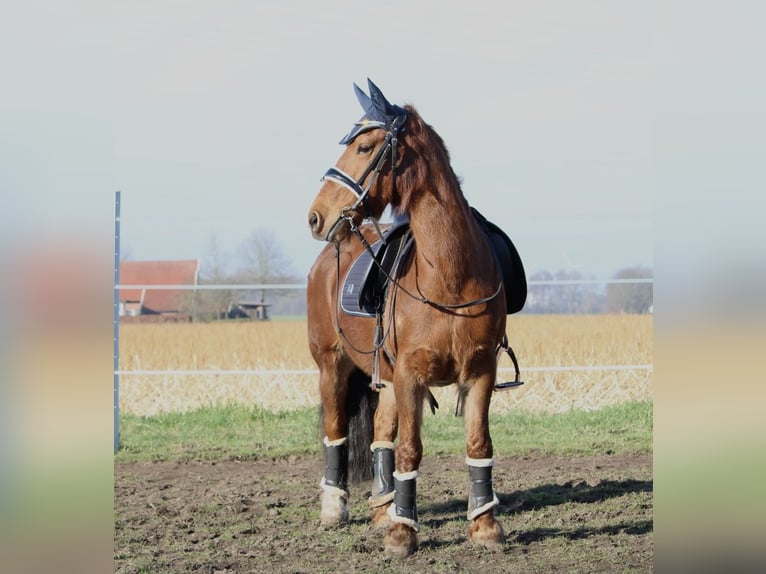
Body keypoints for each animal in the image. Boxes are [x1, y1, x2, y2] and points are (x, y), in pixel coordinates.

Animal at [306, 79, 519, 557]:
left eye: (365, 147)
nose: (315, 216)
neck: (449, 278)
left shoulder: (480, 372)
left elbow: (478, 443)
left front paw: (484, 526)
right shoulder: (410, 376)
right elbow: (410, 449)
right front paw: (404, 533)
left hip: (383, 380)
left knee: (380, 435)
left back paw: (384, 509)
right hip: (332, 367)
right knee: (336, 431)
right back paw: (335, 508)